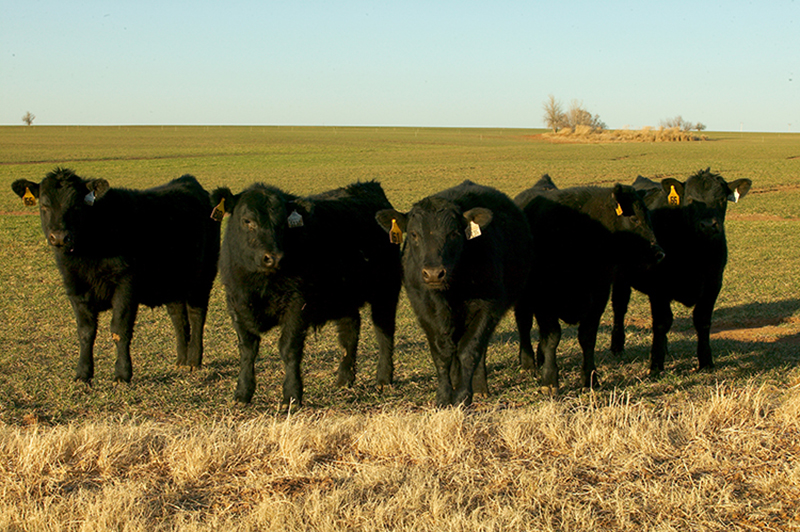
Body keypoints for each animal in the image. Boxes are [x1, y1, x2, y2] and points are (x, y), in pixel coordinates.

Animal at [11, 167, 220, 383]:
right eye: (44, 205)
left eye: (76, 205)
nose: (60, 237)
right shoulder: (75, 288)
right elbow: (85, 331)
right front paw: (83, 373)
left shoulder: (125, 287)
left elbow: (119, 329)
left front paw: (122, 373)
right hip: (172, 282)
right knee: (178, 316)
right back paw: (181, 360)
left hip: (202, 278)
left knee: (196, 315)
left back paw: (194, 359)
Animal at [212, 181, 401, 408]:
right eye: (247, 220)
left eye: (283, 224)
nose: (274, 257)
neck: (260, 285)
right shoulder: (236, 304)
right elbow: (247, 350)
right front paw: (242, 393)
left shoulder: (297, 306)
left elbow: (288, 348)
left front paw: (291, 395)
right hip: (344, 298)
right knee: (350, 333)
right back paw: (344, 378)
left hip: (386, 291)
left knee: (384, 333)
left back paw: (383, 378)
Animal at [376, 180, 532, 407]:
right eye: (414, 234)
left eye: (454, 233)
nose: (433, 273)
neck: (449, 294)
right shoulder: (424, 311)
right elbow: (441, 353)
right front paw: (443, 396)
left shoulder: (488, 308)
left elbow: (470, 350)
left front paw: (462, 396)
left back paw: (480, 387)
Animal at [514, 176, 666, 395]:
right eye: (634, 219)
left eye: (649, 218)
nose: (659, 253)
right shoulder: (544, 299)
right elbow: (552, 337)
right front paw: (549, 380)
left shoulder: (598, 297)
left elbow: (587, 338)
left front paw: (590, 378)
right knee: (524, 325)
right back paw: (528, 363)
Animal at [610, 168, 752, 375]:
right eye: (691, 199)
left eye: (721, 199)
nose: (708, 225)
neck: (694, 253)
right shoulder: (659, 287)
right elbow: (661, 322)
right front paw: (655, 366)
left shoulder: (713, 284)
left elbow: (702, 320)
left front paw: (706, 362)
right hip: (621, 277)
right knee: (620, 307)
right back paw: (617, 347)